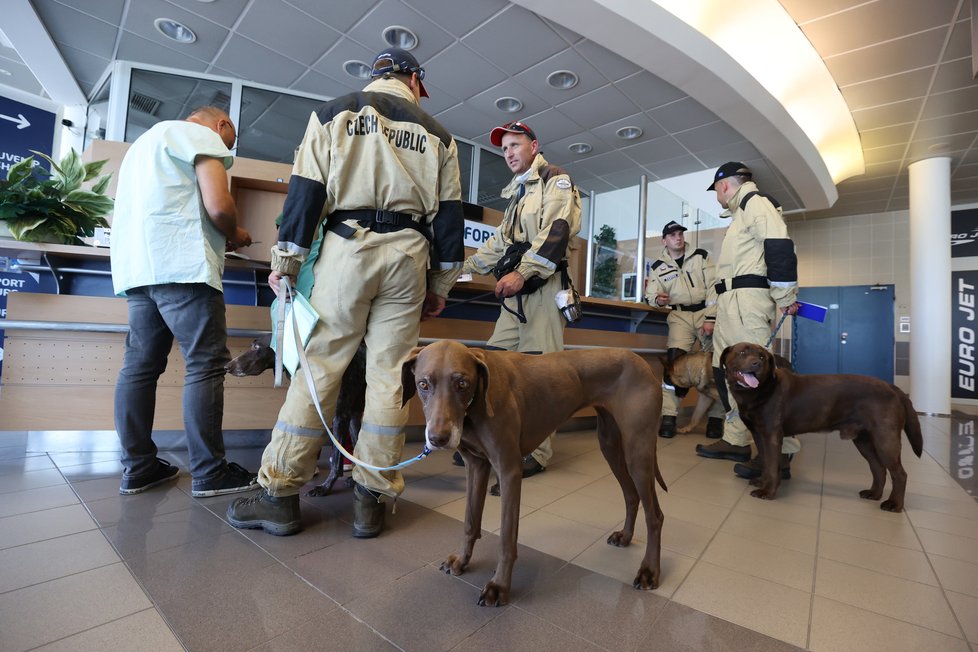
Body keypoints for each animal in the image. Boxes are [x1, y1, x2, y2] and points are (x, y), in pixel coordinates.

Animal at [225, 336, 366, 494]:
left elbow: (336, 461)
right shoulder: (346, 415)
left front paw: (325, 487)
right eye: (252, 345)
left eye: (256, 347)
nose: (227, 366)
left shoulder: (340, 417)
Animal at [400, 342, 668, 608]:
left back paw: (649, 571)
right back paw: (625, 537)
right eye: (423, 384)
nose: (438, 439)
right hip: (611, 447)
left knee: (655, 515)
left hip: (638, 453)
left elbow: (506, 538)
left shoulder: (509, 470)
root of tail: (642, 362)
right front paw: (462, 561)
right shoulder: (476, 466)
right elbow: (470, 522)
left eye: (462, 384)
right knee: (631, 496)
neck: (477, 401)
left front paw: (499, 586)